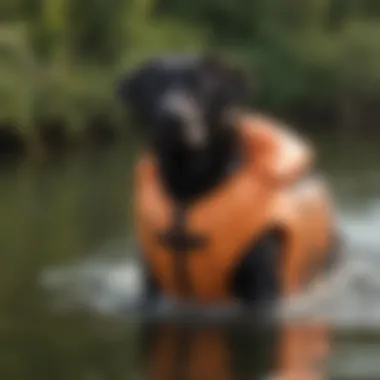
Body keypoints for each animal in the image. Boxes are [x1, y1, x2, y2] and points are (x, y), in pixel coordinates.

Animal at [119, 55, 282, 306]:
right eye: (155, 85)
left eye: (200, 85)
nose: (172, 116)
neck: (188, 183)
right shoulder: (151, 284)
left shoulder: (262, 285)